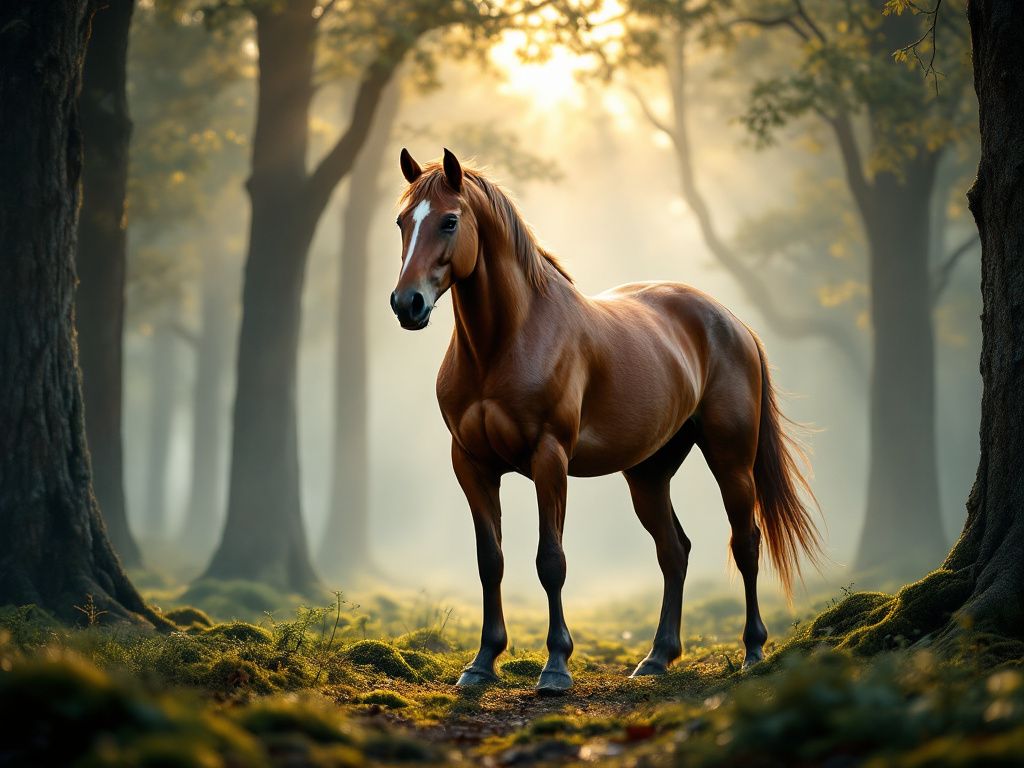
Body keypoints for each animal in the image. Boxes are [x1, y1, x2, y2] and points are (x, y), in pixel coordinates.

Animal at [389, 148, 821, 693]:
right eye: (402, 222)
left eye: (449, 221)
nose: (407, 304)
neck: (504, 343)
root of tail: (732, 321)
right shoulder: (471, 464)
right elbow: (491, 562)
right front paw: (482, 663)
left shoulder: (549, 458)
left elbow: (550, 561)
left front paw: (556, 666)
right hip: (649, 474)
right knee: (674, 551)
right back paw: (657, 657)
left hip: (731, 462)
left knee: (745, 544)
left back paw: (753, 651)